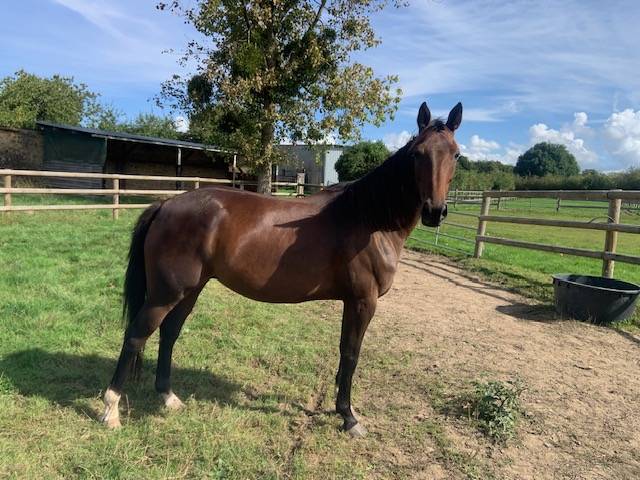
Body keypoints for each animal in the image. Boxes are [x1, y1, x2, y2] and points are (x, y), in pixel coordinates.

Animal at [101, 100, 462, 438]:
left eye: (456, 155)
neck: (369, 219)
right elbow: (351, 354)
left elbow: (344, 351)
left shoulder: (352, 301)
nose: (435, 211)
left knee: (169, 333)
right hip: (165, 294)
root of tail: (165, 205)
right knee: (135, 336)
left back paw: (168, 397)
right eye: (416, 154)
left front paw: (340, 409)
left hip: (190, 290)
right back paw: (111, 410)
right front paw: (349, 417)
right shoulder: (363, 301)